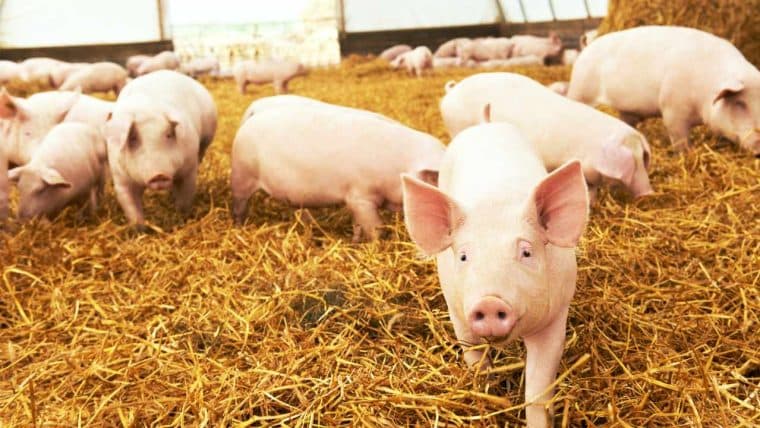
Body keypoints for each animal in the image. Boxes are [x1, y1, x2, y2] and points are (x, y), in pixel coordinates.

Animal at [105, 70, 217, 226]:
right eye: (133, 138)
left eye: (169, 134)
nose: (159, 175)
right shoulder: (120, 178)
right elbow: (131, 209)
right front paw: (140, 228)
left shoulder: (188, 169)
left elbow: (185, 198)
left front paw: (180, 217)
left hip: (205, 140)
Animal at [230, 103, 445, 241]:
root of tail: (247, 123)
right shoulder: (361, 196)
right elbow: (377, 229)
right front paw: (377, 245)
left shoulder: (354, 201)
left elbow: (358, 225)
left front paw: (355, 242)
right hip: (242, 176)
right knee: (239, 207)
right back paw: (239, 229)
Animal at [401, 121, 589, 428]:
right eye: (464, 256)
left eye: (526, 252)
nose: (489, 302)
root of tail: (485, 124)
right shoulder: (456, 310)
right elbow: (474, 356)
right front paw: (487, 389)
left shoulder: (555, 317)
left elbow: (538, 390)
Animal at [441, 73, 653, 200]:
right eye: (634, 161)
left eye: (643, 156)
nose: (648, 193)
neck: (591, 151)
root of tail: (452, 91)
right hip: (455, 126)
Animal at [568, 26, 760, 156]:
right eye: (740, 103)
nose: (758, 145)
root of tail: (587, 49)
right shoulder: (672, 109)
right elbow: (679, 139)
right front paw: (686, 155)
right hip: (580, 89)